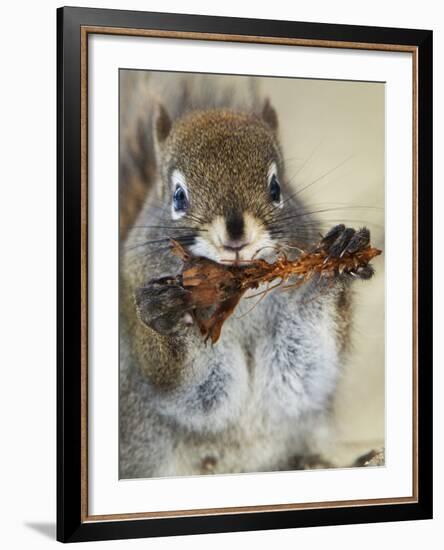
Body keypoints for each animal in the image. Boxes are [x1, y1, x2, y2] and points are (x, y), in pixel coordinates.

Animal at [119, 72, 374, 478]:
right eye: (178, 196)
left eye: (276, 188)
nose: (236, 234)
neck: (235, 291)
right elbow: (185, 387)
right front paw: (163, 313)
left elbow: (306, 367)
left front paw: (335, 262)